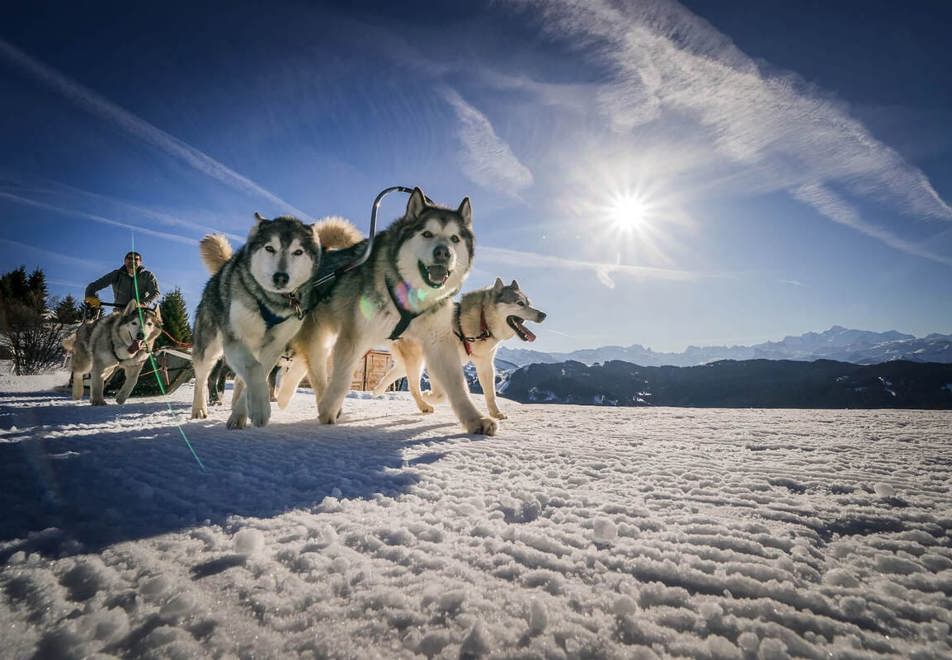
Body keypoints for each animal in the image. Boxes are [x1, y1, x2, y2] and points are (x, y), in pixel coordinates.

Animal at [190, 211, 324, 428]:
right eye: (270, 248)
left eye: (298, 252)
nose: (281, 277)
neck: (270, 302)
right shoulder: (234, 340)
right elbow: (254, 369)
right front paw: (260, 408)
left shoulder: (274, 347)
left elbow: (258, 373)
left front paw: (241, 413)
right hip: (209, 348)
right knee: (201, 377)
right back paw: (199, 409)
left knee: (239, 380)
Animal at [276, 187, 498, 434]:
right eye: (427, 234)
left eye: (455, 238)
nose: (443, 253)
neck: (411, 293)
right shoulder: (354, 335)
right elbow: (342, 380)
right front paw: (328, 411)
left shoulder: (439, 341)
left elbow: (457, 385)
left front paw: (475, 419)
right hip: (320, 334)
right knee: (314, 369)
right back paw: (316, 401)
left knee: (301, 365)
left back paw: (284, 399)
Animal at [376, 278, 548, 418]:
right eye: (520, 303)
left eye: (529, 302)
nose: (543, 315)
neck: (482, 322)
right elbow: (441, 394)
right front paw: (428, 395)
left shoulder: (485, 364)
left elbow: (490, 394)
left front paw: (496, 413)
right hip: (416, 361)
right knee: (413, 387)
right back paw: (424, 404)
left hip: (410, 363)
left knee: (390, 377)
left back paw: (376, 392)